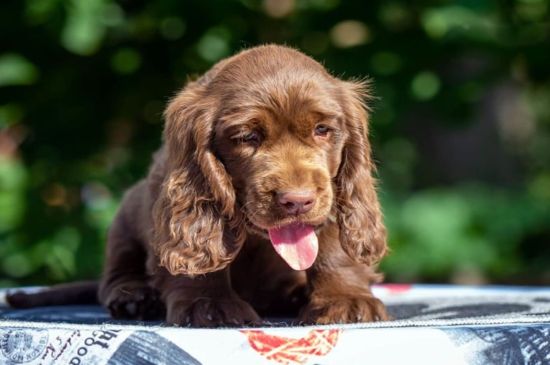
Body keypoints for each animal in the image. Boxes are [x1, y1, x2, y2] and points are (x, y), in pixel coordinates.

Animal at [9, 44, 388, 326]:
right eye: (247, 137)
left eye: (322, 130)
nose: (297, 201)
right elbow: (200, 248)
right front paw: (209, 304)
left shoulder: (333, 196)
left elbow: (332, 244)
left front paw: (345, 299)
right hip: (126, 213)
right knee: (114, 273)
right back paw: (133, 297)